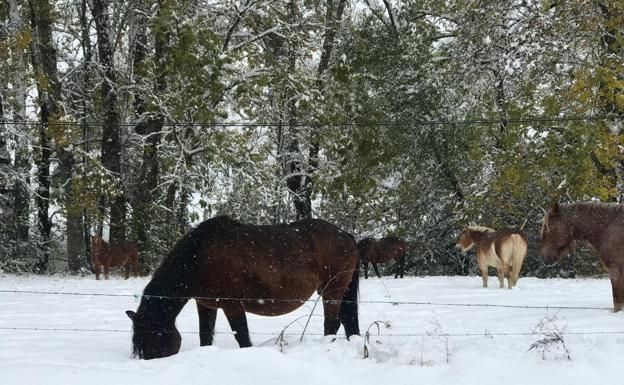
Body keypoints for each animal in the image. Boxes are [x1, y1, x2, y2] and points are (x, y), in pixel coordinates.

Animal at [125, 214, 360, 358]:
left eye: (151, 340)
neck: (199, 257)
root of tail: (346, 235)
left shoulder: (232, 305)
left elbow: (242, 336)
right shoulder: (206, 305)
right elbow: (205, 336)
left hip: (332, 291)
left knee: (332, 323)